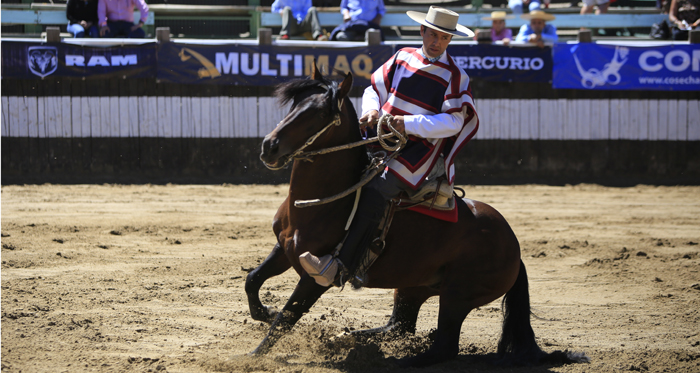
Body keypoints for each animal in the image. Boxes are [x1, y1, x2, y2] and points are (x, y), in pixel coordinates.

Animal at [247, 64, 584, 366]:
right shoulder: (283, 248)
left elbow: (286, 318)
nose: (269, 147)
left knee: (443, 347)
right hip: (411, 288)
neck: (323, 202)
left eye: (318, 114)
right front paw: (264, 312)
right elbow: (253, 280)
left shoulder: (317, 276)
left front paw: (251, 355)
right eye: (294, 105)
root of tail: (513, 246)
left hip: (457, 296)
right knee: (400, 327)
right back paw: (349, 338)